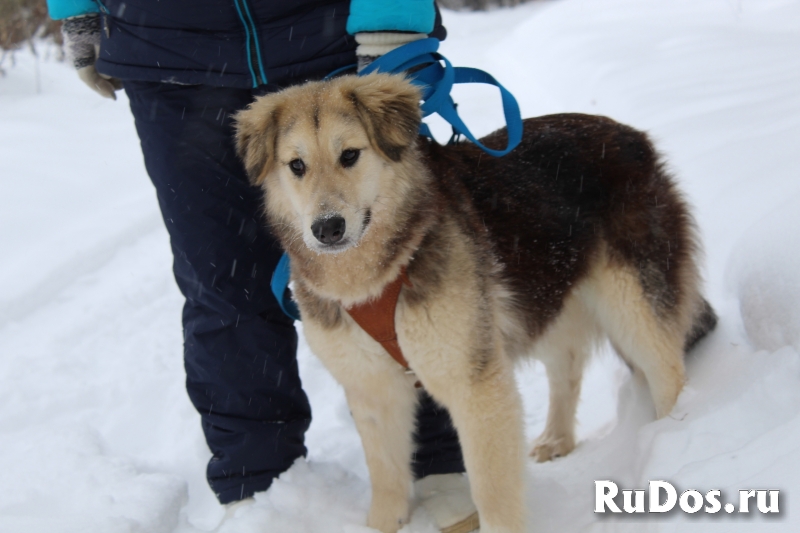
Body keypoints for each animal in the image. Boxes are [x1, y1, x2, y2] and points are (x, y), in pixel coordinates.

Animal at [234, 74, 716, 532]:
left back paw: (672, 439)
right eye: (297, 166)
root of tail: (632, 137)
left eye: (350, 155)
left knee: (667, 372)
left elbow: (491, 490)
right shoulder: (372, 391)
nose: (327, 228)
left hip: (630, 304)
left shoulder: (476, 385)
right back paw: (557, 440)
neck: (375, 276)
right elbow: (386, 481)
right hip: (542, 293)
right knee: (567, 365)